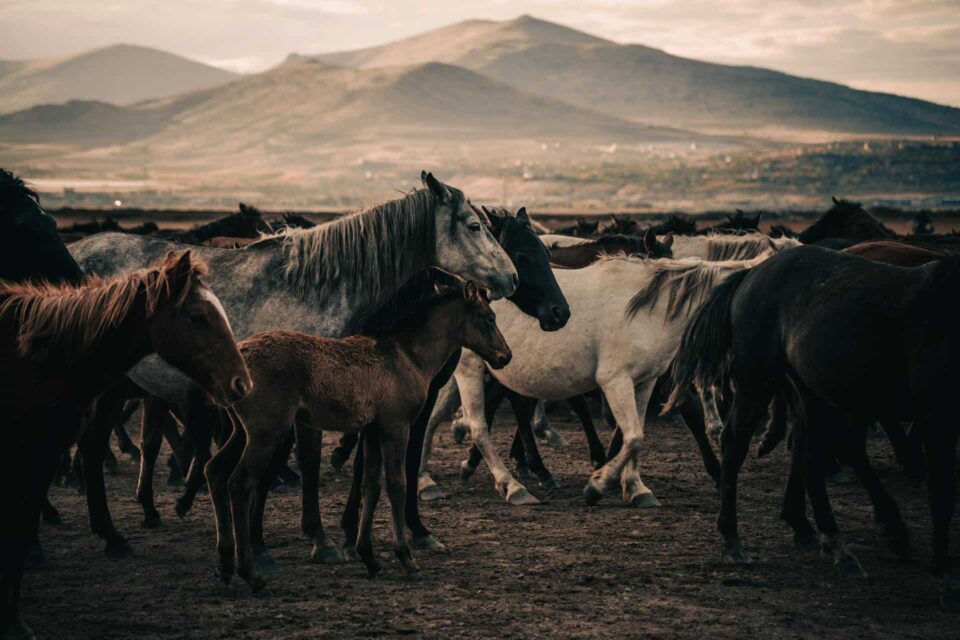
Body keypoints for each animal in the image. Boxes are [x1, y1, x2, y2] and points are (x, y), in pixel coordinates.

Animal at [672, 244, 960, 604]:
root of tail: (753, 273)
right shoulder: (938, 417)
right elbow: (942, 492)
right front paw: (945, 573)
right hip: (757, 380)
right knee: (736, 445)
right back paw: (733, 538)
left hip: (812, 392)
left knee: (810, 455)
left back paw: (838, 544)